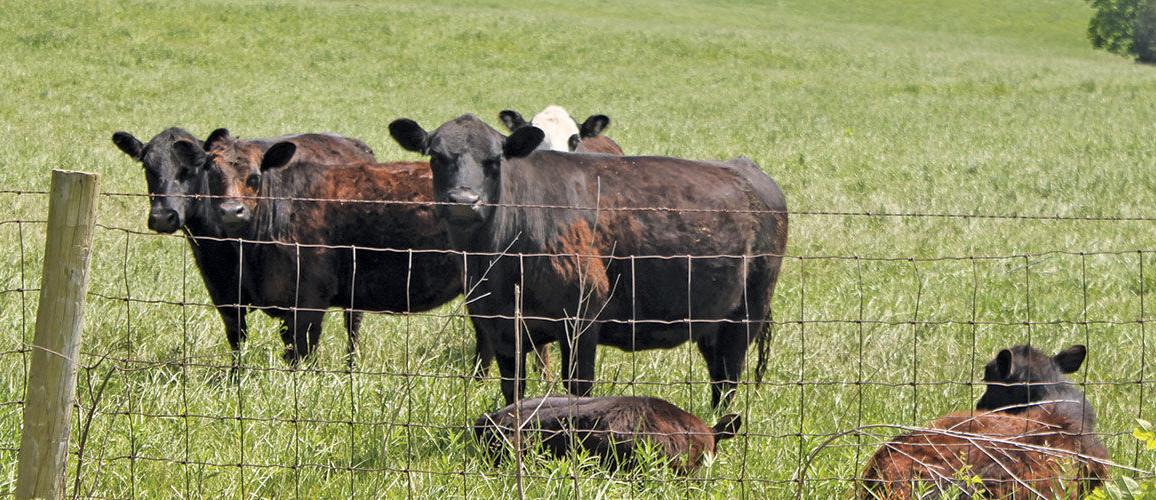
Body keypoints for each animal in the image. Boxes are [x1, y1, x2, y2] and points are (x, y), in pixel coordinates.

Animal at [111, 128, 376, 373]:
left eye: (191, 170)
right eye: (148, 168)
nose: (163, 217)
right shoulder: (222, 291)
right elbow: (237, 337)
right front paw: (235, 377)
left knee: (353, 325)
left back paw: (351, 365)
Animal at [388, 114, 788, 409]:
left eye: (494, 160)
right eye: (436, 156)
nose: (463, 199)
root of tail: (746, 169)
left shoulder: (582, 315)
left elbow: (578, 387)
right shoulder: (499, 323)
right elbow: (513, 387)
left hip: (746, 313)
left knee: (729, 376)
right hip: (711, 320)